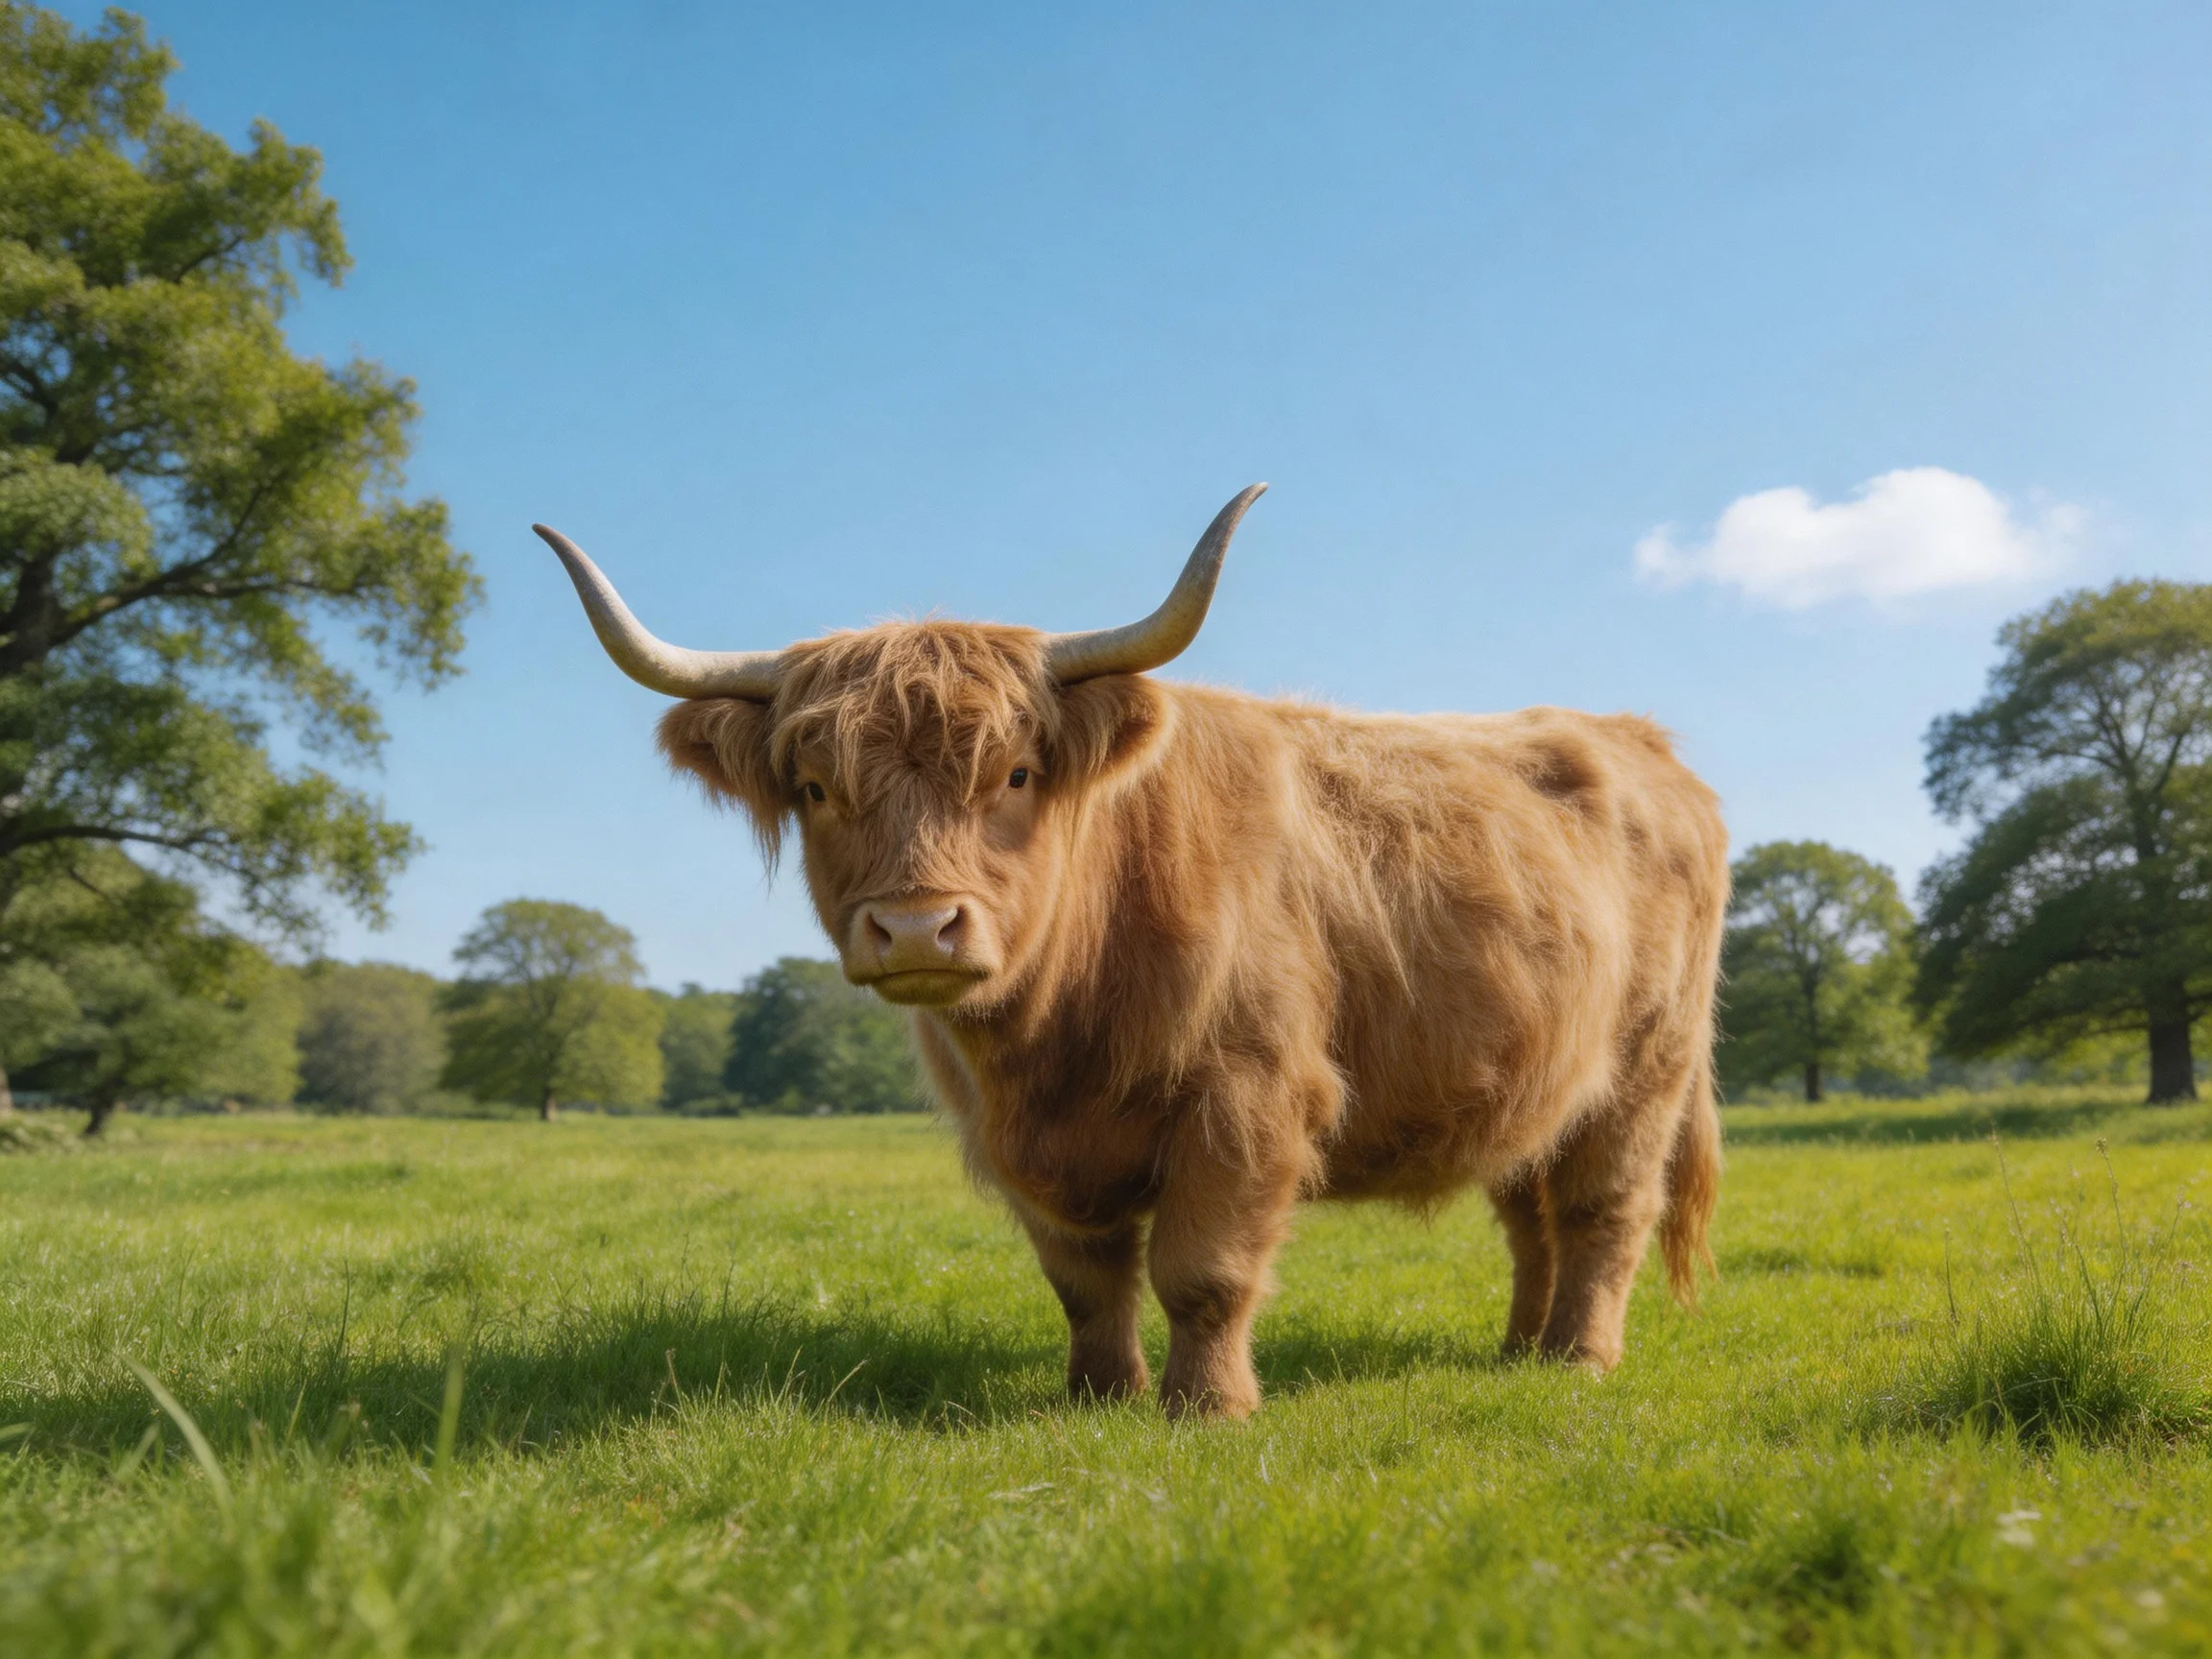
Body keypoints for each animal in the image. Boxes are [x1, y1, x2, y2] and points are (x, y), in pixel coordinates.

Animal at [537, 486, 1728, 1418]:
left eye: (1016, 774)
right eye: (819, 788)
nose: (918, 927)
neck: (1058, 1030)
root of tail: (1638, 739)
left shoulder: (1249, 1093)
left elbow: (1203, 1269)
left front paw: (1208, 1408)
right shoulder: (1015, 1141)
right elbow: (1085, 1278)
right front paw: (1100, 1396)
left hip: (1644, 1072)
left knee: (1603, 1210)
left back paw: (1578, 1361)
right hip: (1538, 1075)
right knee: (1531, 1213)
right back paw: (1518, 1350)